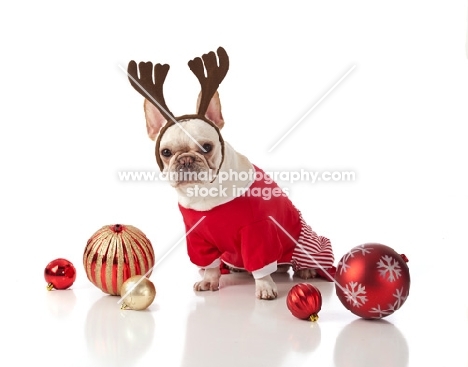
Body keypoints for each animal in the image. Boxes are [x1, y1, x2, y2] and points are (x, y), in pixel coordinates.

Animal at [126, 46, 334, 300]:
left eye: (207, 147)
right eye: (166, 152)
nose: (185, 159)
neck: (205, 194)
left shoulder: (257, 231)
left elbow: (261, 264)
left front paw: (265, 287)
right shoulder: (198, 238)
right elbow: (210, 265)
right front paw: (209, 280)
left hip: (303, 240)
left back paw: (306, 270)